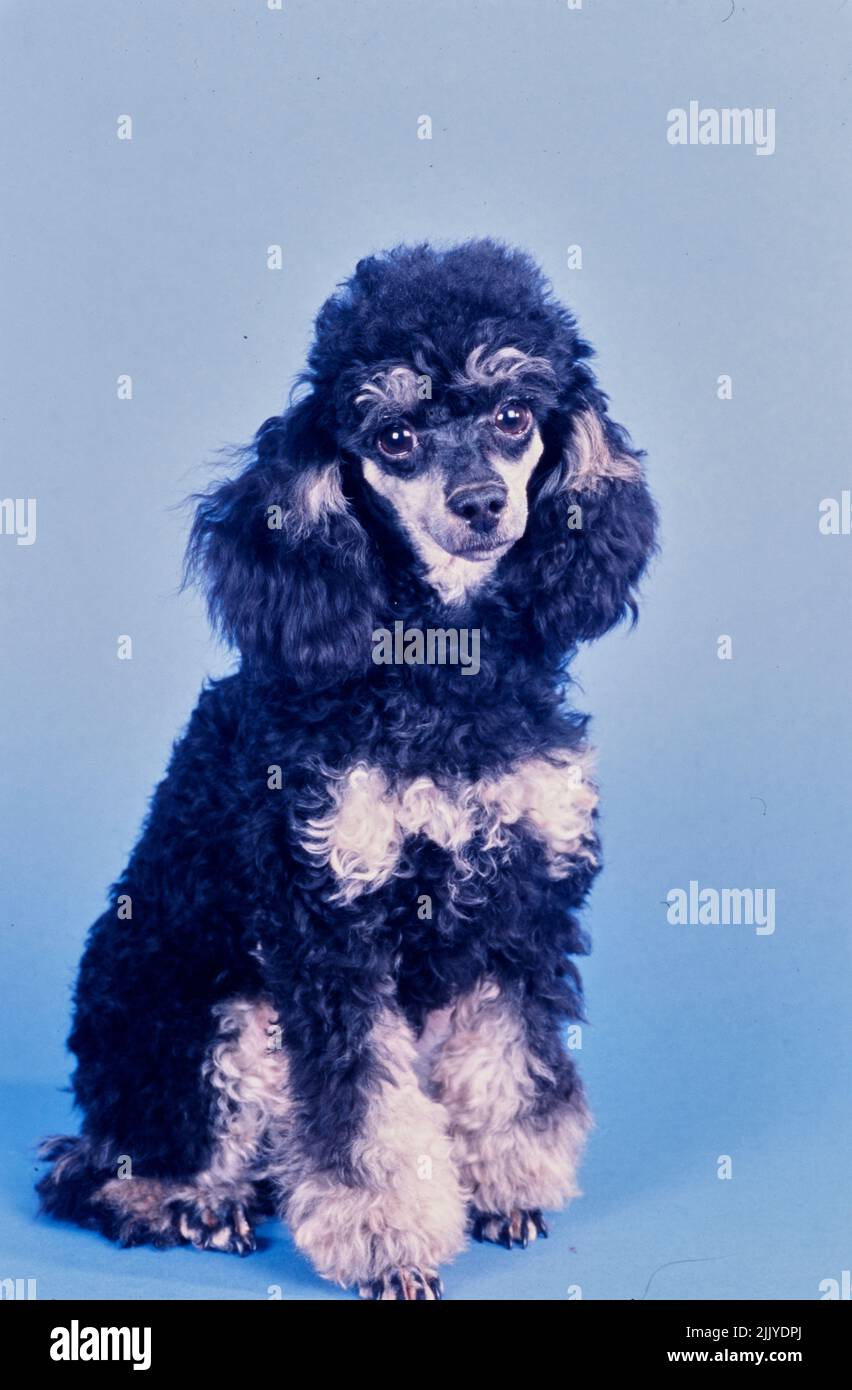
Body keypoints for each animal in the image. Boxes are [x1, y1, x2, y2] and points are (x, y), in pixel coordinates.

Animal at [36, 241, 653, 1301]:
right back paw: (201, 1209)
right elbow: (365, 1121)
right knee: (105, 1175)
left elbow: (511, 1065)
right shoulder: (328, 925)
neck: (442, 681)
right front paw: (389, 1244)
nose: (481, 505)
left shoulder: (520, 910)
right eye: (395, 435)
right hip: (216, 1021)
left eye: (513, 415)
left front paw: (506, 1188)